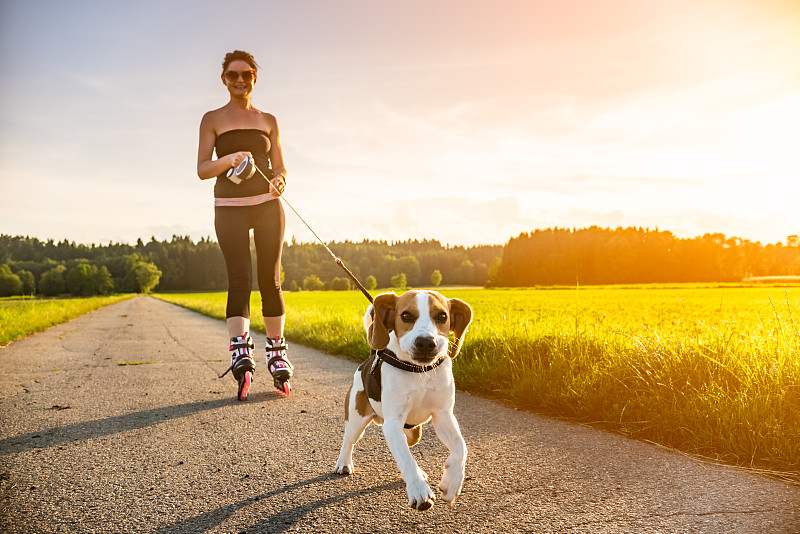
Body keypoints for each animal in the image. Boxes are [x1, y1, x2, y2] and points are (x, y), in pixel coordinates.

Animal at [332, 292, 472, 512]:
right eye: (406, 315)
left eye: (442, 316)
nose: (426, 342)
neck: (419, 372)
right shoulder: (392, 423)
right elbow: (406, 458)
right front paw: (419, 490)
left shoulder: (443, 416)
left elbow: (460, 446)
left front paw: (452, 483)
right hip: (356, 419)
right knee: (349, 441)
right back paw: (344, 463)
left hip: (414, 433)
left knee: (407, 444)